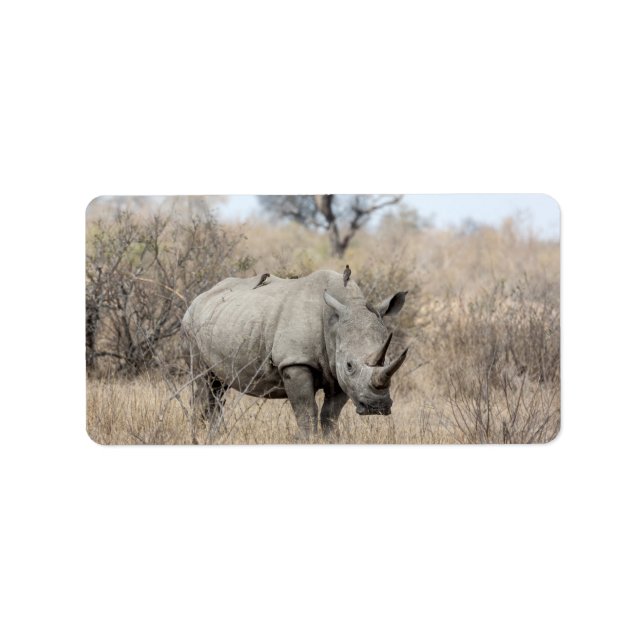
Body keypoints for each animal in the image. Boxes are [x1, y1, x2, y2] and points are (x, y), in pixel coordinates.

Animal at [181, 269, 409, 438]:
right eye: (350, 365)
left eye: (389, 359)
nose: (376, 407)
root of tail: (199, 298)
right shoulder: (295, 362)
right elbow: (306, 412)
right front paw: (309, 440)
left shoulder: (337, 371)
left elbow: (330, 415)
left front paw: (331, 440)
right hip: (191, 326)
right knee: (204, 383)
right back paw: (200, 436)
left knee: (218, 388)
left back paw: (213, 437)